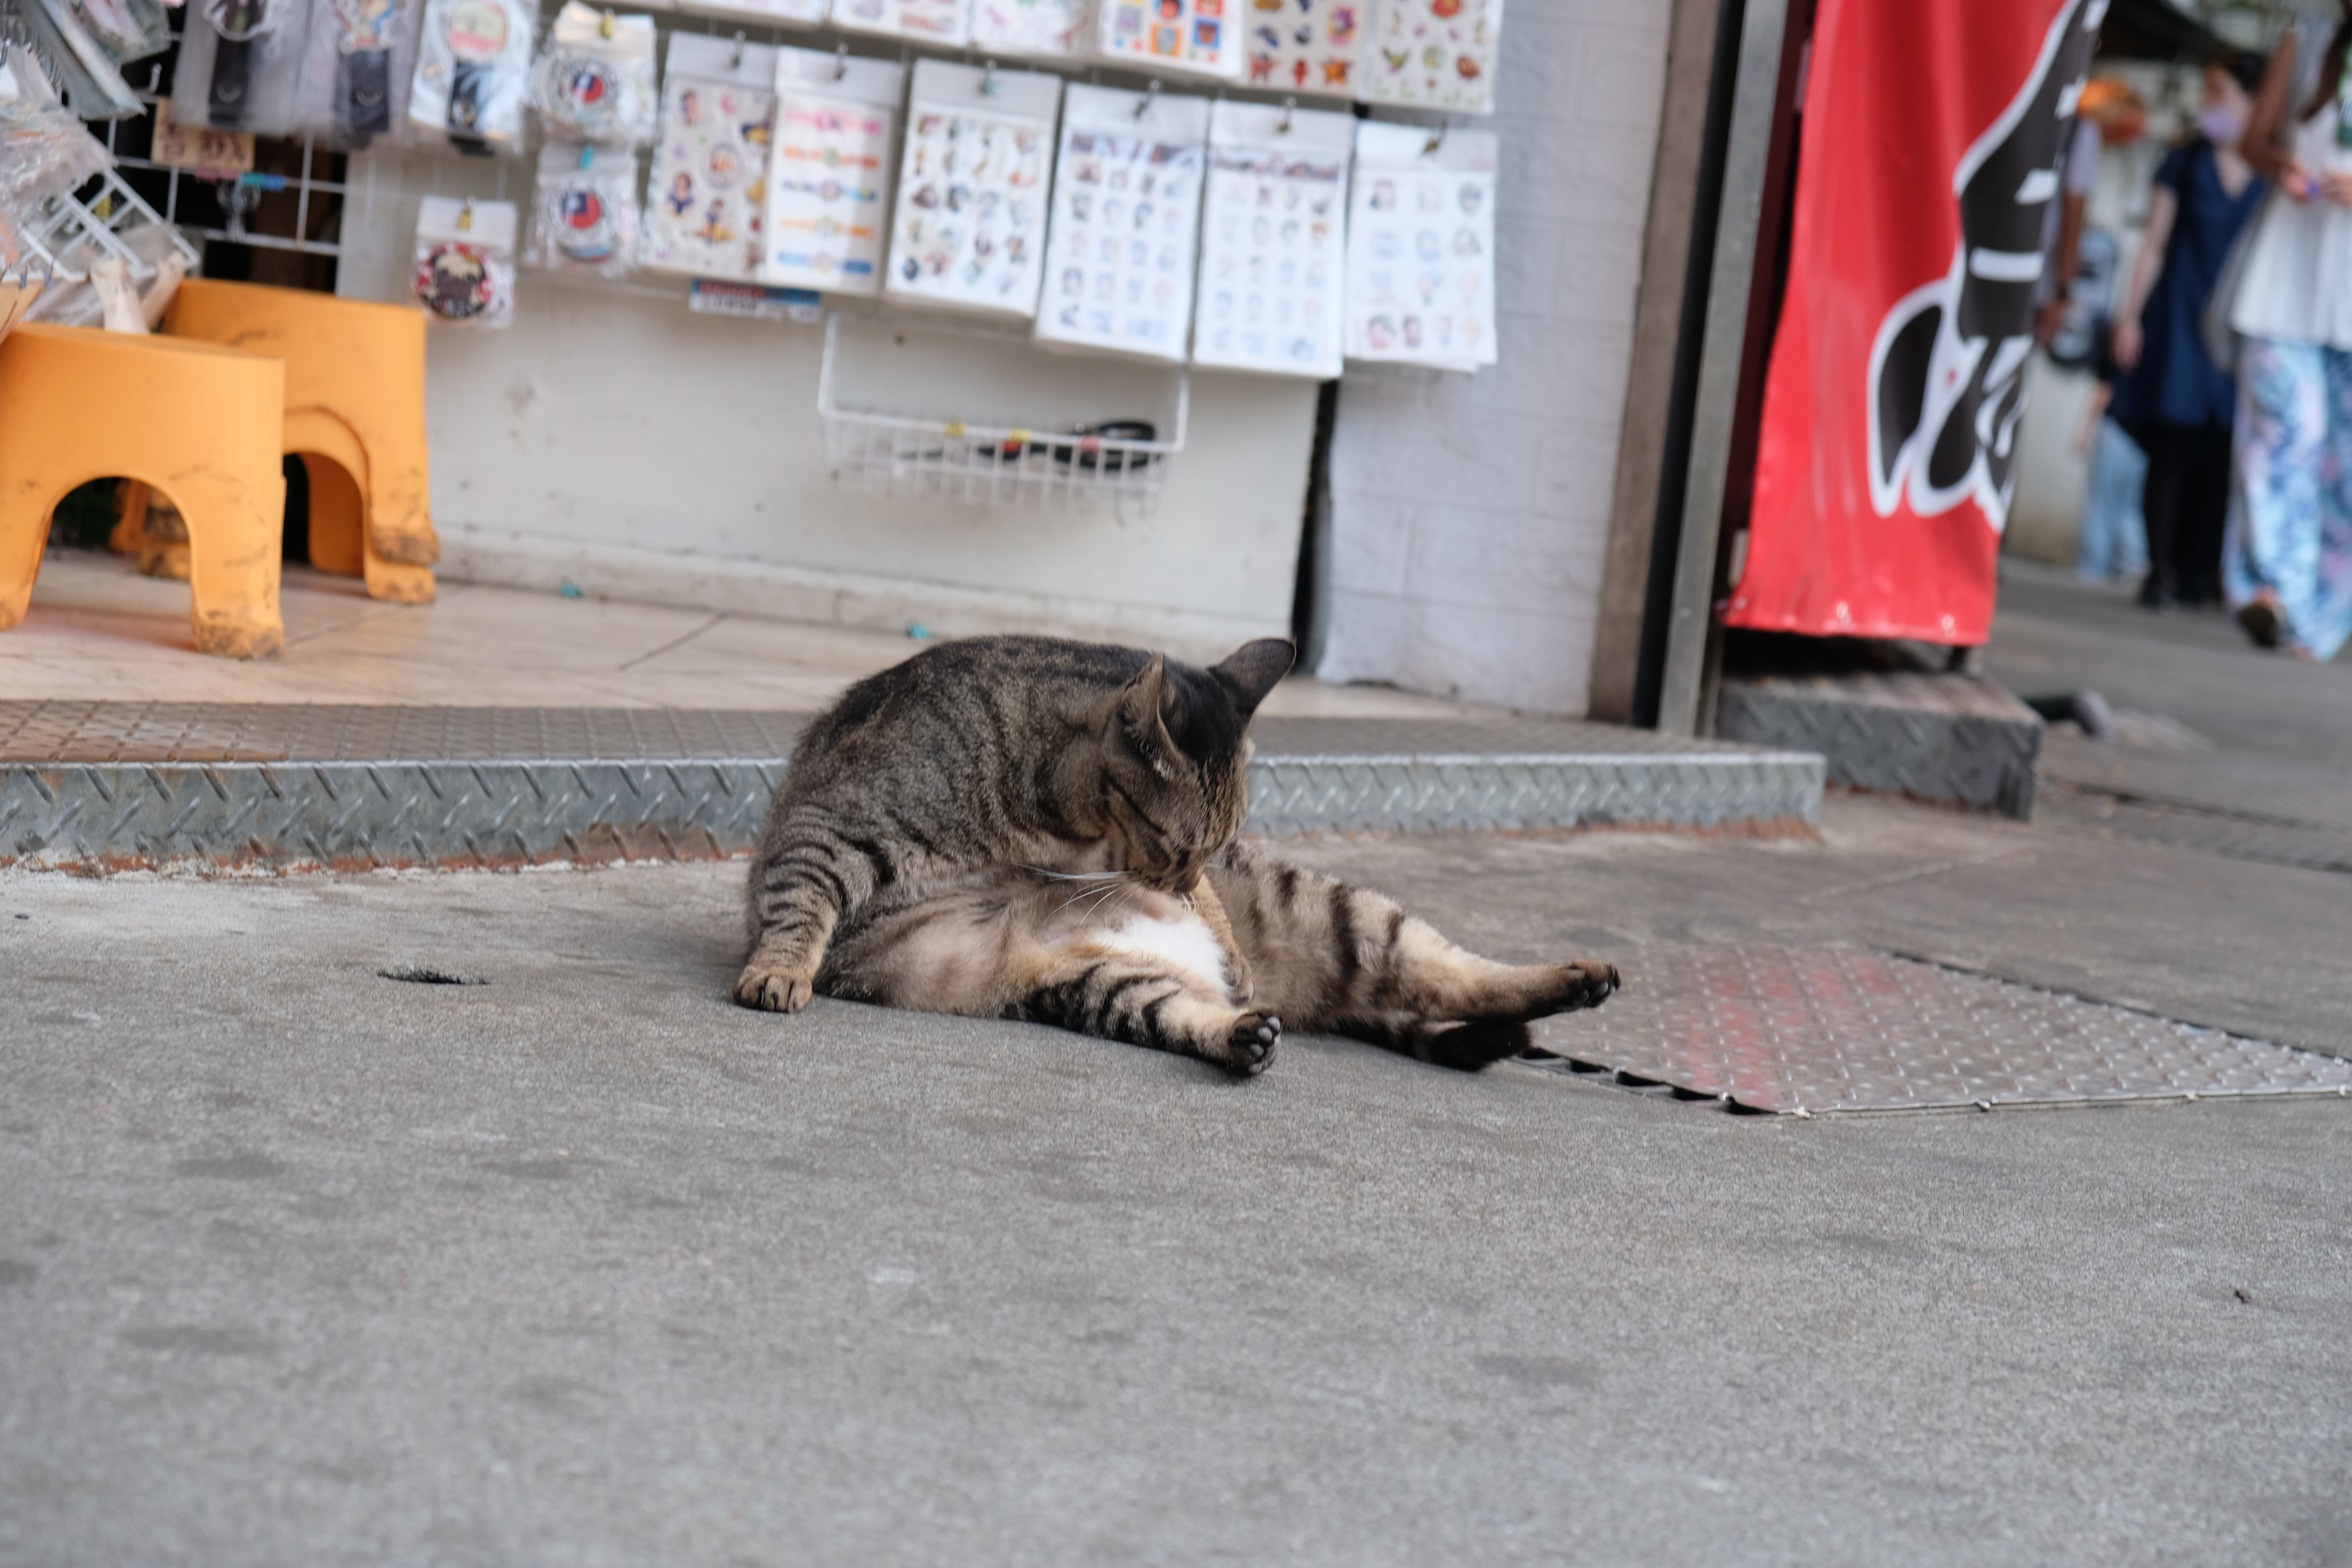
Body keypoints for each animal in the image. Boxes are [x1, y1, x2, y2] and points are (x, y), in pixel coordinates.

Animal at [734, 630, 1618, 1072]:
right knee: (1196, 1015)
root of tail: (1303, 999)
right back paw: (1243, 1033)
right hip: (1097, 984)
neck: (1047, 822)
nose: (1185, 882)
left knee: (1456, 974)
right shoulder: (831, 825)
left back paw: (1580, 978)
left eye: (1213, 848)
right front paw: (779, 969)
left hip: (1346, 915)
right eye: (1178, 842)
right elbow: (799, 901)